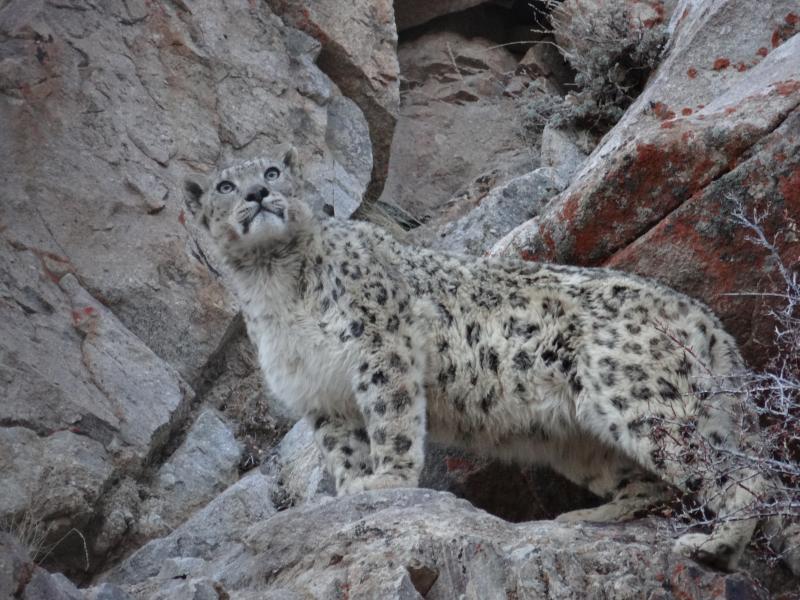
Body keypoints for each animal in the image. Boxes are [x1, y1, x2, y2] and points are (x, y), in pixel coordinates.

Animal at [184, 149, 796, 572]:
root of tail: (702, 315)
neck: (275, 284)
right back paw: (585, 518)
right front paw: (355, 485)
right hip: (586, 437)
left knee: (739, 474)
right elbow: (343, 448)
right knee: (653, 486)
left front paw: (387, 479)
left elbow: (392, 418)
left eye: (272, 172)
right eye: (225, 184)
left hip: (638, 396)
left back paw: (713, 547)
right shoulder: (318, 394)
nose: (256, 195)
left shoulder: (381, 345)